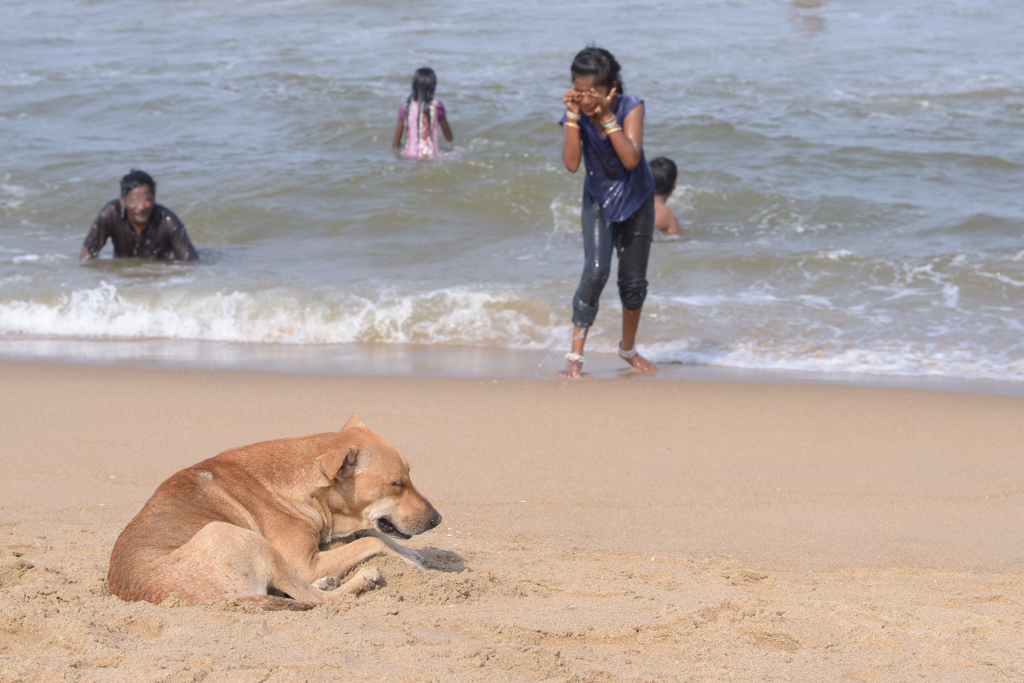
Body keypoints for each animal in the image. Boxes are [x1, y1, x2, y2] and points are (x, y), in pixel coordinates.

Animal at [108, 413, 440, 610]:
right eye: (396, 484)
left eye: (410, 477)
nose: (437, 519)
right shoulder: (305, 563)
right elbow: (371, 540)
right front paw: (411, 561)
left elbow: (373, 532)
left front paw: (413, 554)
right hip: (242, 537)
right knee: (313, 598)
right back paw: (361, 579)